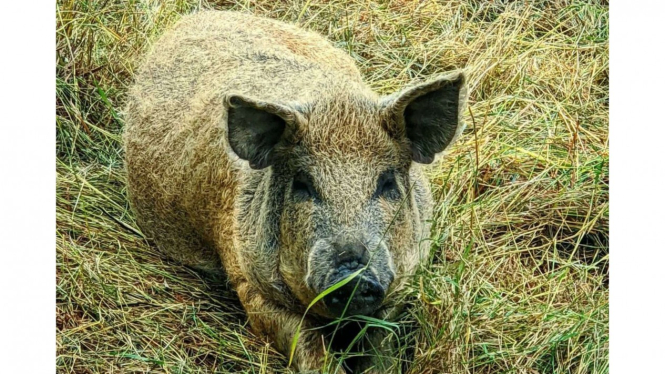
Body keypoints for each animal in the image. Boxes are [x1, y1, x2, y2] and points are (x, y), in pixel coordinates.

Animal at [124, 10, 466, 372]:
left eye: (387, 182)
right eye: (302, 184)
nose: (352, 272)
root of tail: (203, 14)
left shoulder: (406, 281)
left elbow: (383, 345)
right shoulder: (247, 281)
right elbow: (307, 346)